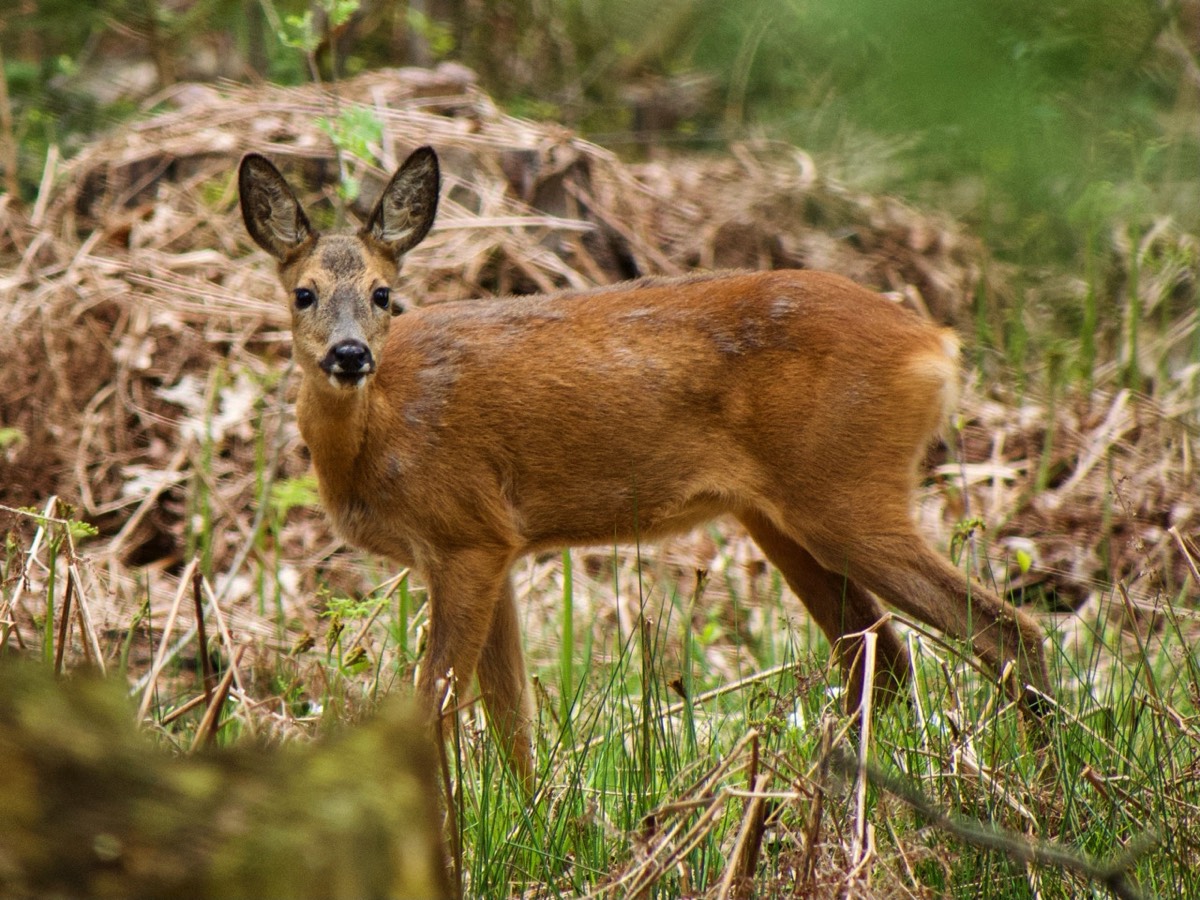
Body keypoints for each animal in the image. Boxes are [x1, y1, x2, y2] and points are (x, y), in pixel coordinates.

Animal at [241, 148, 1051, 787]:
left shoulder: (466, 534)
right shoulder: (496, 545)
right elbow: (513, 722)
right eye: (303, 293)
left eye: (383, 294)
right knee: (880, 658)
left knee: (1005, 631)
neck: (379, 433)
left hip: (849, 489)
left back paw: (1044, 787)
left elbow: (433, 710)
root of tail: (937, 346)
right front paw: (541, 820)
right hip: (782, 517)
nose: (350, 355)